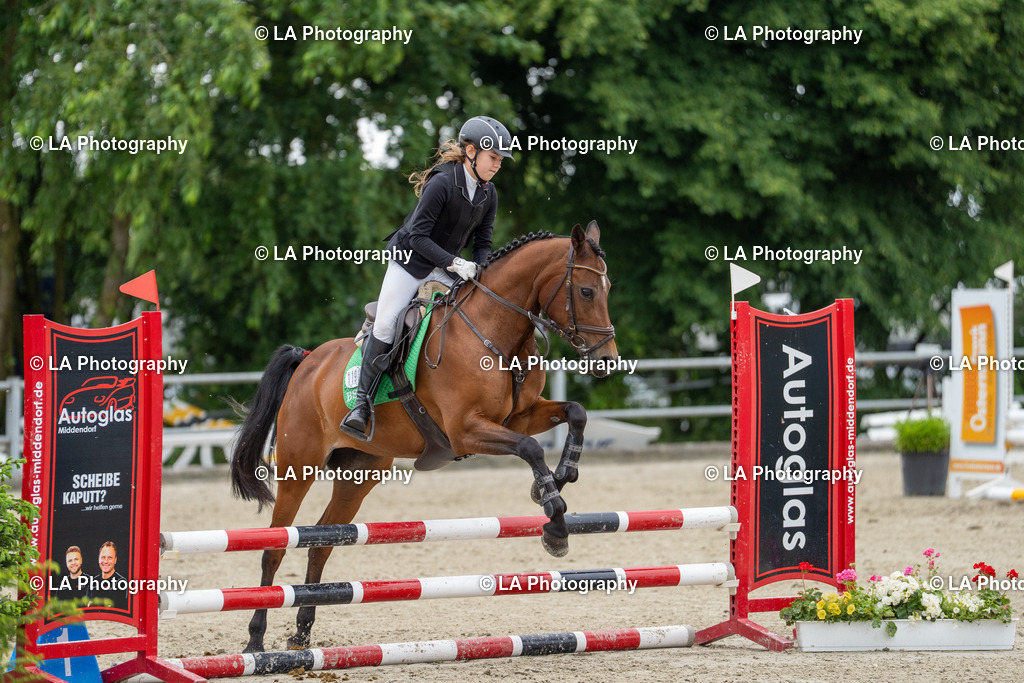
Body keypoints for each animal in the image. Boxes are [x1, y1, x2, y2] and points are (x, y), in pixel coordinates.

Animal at [229, 221, 617, 653]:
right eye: (586, 291)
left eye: (608, 288)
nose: (607, 362)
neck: (495, 330)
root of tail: (308, 362)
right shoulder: (466, 431)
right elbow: (531, 448)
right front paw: (555, 524)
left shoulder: (519, 417)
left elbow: (575, 413)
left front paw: (560, 478)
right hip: (299, 467)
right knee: (276, 546)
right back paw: (255, 640)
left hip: (359, 474)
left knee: (322, 543)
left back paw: (301, 635)